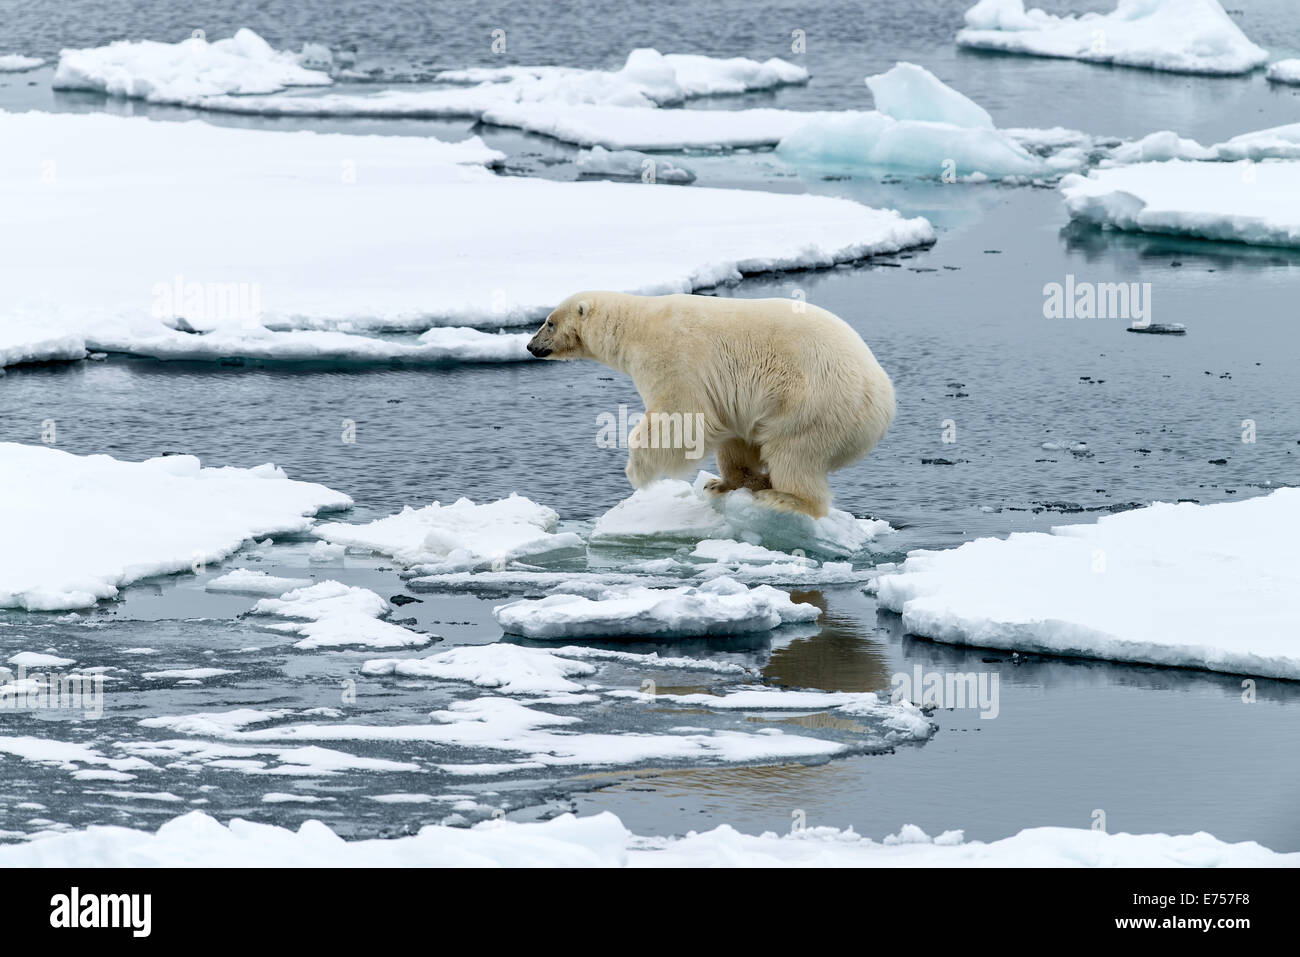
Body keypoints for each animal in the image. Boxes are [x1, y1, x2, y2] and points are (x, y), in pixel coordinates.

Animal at [525, 289, 894, 514]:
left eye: (549, 322)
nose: (529, 345)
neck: (636, 326)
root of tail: (884, 400)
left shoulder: (672, 358)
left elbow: (682, 417)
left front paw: (637, 471)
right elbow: (722, 426)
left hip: (812, 404)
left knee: (793, 453)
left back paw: (782, 496)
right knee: (743, 441)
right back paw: (730, 483)